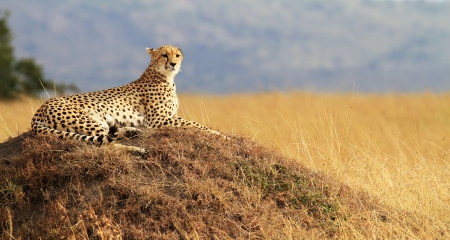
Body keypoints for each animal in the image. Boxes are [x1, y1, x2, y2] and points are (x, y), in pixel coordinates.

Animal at [30, 45, 223, 154]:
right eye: (164, 55)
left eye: (177, 55)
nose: (174, 64)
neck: (165, 77)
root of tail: (40, 108)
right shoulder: (157, 121)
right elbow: (194, 124)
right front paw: (218, 134)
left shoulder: (166, 118)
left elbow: (192, 123)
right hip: (86, 120)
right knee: (104, 144)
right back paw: (136, 149)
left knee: (108, 135)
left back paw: (132, 132)